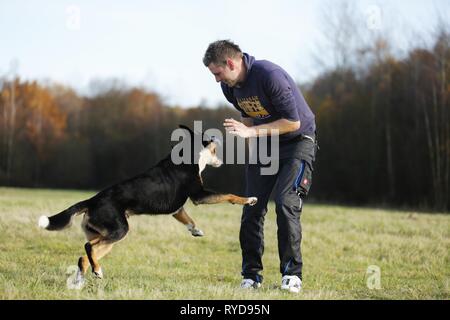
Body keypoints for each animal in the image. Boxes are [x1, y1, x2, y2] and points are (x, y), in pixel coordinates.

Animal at [38, 124, 256, 284]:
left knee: (84, 257)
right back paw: (97, 271)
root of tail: (92, 200)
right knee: (88, 247)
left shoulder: (177, 209)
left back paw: (85, 279)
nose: (221, 157)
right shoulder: (199, 195)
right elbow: (229, 195)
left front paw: (196, 231)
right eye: (211, 143)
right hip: (119, 230)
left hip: (107, 235)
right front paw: (250, 199)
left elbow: (188, 220)